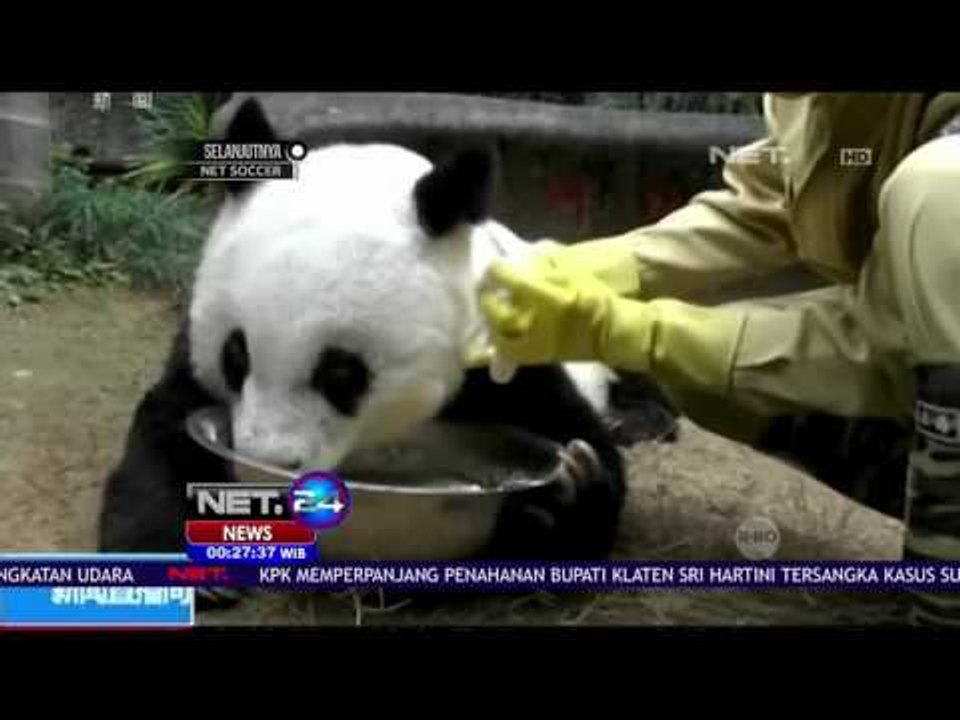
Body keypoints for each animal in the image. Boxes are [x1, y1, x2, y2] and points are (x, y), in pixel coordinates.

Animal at [98, 97, 646, 592]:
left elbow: (576, 448)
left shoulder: (495, 357)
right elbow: (163, 431)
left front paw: (563, 493)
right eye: (235, 356)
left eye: (340, 373)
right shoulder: (194, 353)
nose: (271, 463)